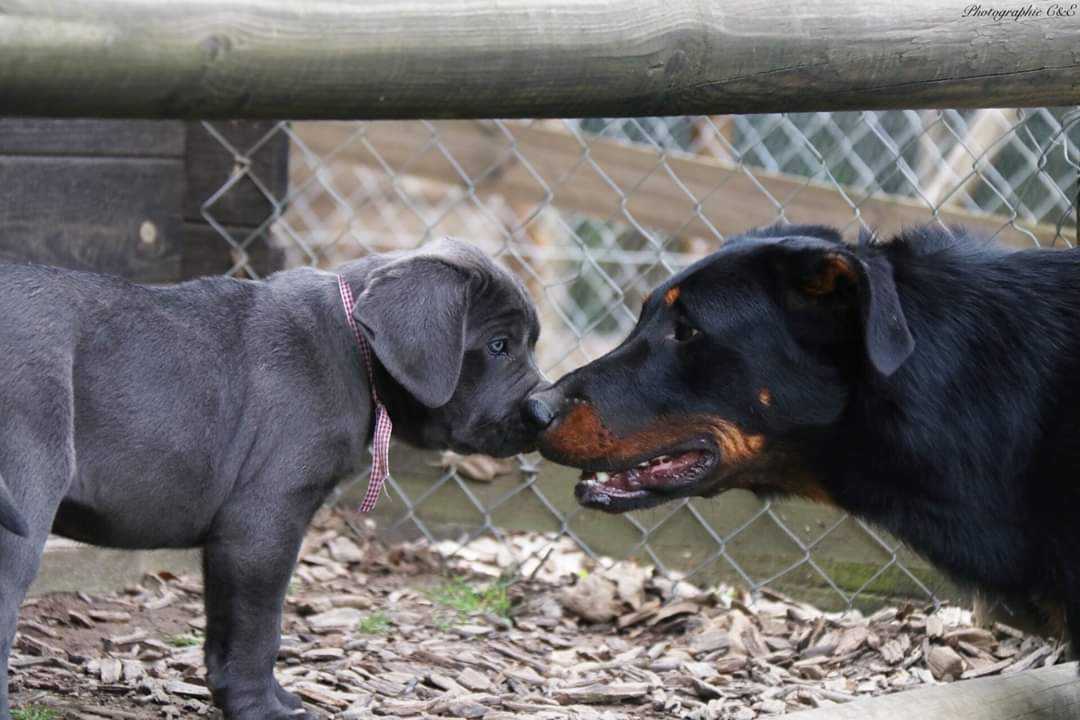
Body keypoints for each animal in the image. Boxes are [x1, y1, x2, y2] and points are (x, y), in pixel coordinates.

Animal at [0, 239, 540, 716]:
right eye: (498, 346)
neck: (351, 346)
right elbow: (261, 627)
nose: (542, 411)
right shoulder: (262, 525)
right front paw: (261, 709)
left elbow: (227, 628)